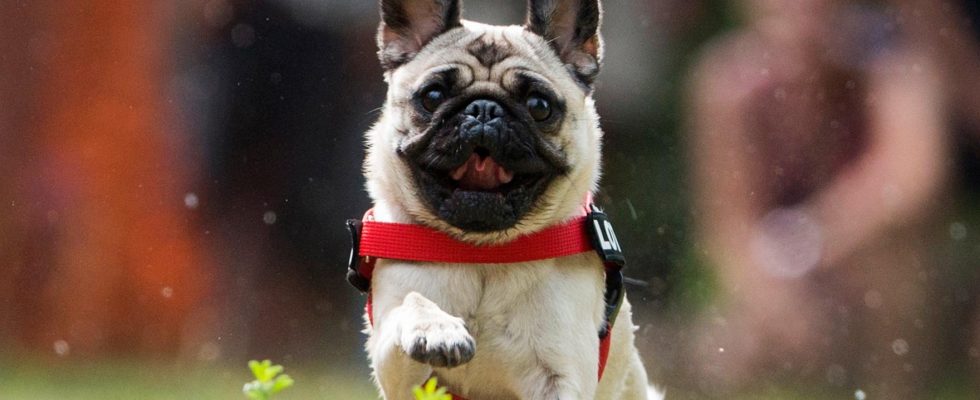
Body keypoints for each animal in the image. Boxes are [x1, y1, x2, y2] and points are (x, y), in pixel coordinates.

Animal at [356, 0, 664, 400]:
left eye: (539, 105)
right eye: (433, 97)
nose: (484, 109)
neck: (483, 255)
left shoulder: (560, 376)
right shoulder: (399, 372)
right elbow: (413, 302)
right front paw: (436, 328)